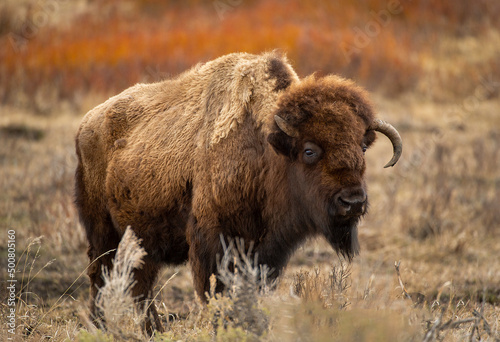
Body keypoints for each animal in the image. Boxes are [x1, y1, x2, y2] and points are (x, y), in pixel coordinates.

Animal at [75, 51, 402, 332]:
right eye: (309, 151)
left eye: (361, 147)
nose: (353, 201)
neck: (265, 149)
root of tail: (86, 123)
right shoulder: (213, 241)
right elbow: (214, 290)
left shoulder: (266, 249)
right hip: (101, 228)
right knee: (101, 274)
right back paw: (101, 326)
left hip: (140, 237)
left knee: (140, 283)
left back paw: (151, 329)